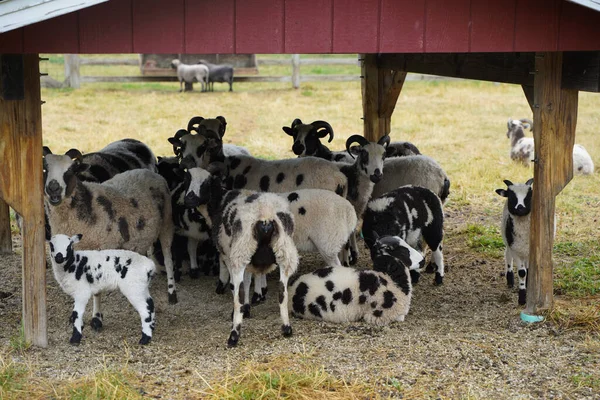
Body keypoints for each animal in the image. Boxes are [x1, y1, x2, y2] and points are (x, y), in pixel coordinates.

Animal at [43, 148, 176, 336]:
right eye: (45, 168)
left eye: (70, 170)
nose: (53, 188)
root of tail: (151, 173)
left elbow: (96, 290)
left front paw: (96, 319)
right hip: (146, 233)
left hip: (166, 223)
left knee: (168, 257)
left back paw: (172, 293)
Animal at [180, 164, 298, 346]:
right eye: (186, 180)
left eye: (206, 183)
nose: (189, 200)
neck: (218, 203)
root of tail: (265, 214)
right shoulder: (249, 260)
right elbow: (250, 280)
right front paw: (249, 306)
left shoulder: (227, 253)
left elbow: (236, 285)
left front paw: (242, 307)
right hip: (284, 253)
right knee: (282, 292)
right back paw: (286, 328)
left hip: (241, 252)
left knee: (239, 294)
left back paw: (234, 335)